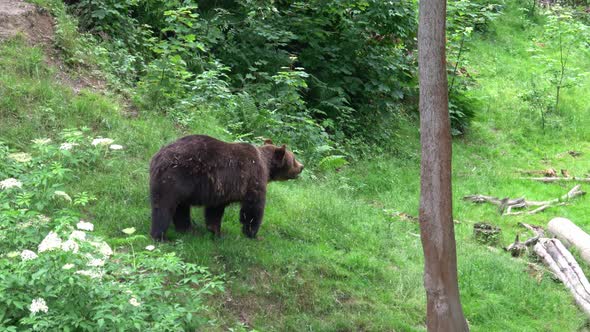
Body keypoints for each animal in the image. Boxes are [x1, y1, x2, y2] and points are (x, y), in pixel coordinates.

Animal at [148, 135, 306, 241]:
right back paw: (160, 236)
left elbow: (214, 212)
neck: (267, 167)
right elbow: (253, 209)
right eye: (294, 158)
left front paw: (216, 232)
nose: (302, 166)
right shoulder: (253, 178)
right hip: (176, 177)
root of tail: (158, 156)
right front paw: (253, 233)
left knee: (181, 208)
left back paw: (187, 230)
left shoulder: (219, 189)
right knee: (164, 207)